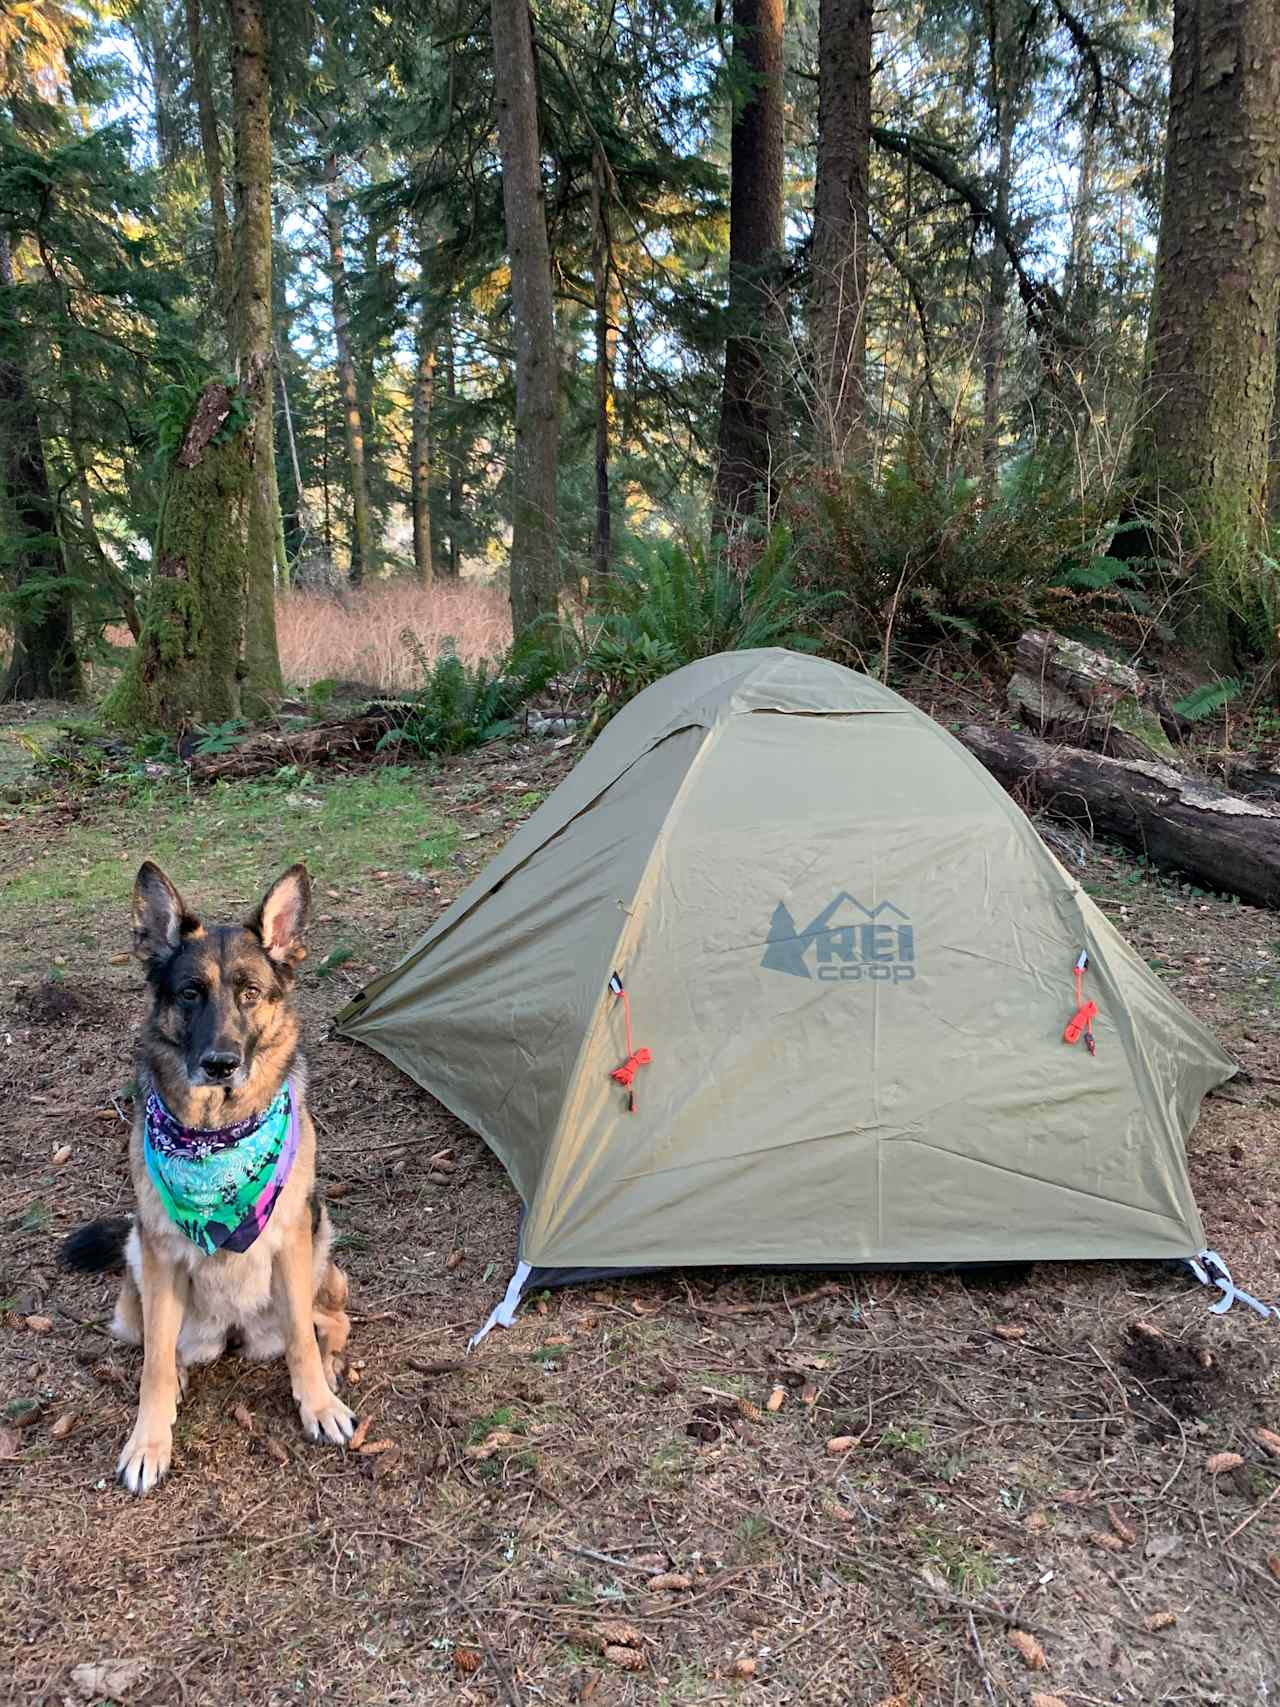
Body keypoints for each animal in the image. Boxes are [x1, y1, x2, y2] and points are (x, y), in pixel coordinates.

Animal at [61, 860, 356, 1488]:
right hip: (137, 1284)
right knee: (160, 1346)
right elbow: (152, 1365)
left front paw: (318, 1405)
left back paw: (331, 1365)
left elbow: (302, 1340)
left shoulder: (291, 1242)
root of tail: (232, 1331)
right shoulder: (160, 1258)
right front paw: (148, 1441)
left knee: (330, 1322)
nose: (220, 1064)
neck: (216, 1136)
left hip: (319, 1243)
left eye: (250, 993)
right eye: (190, 993)